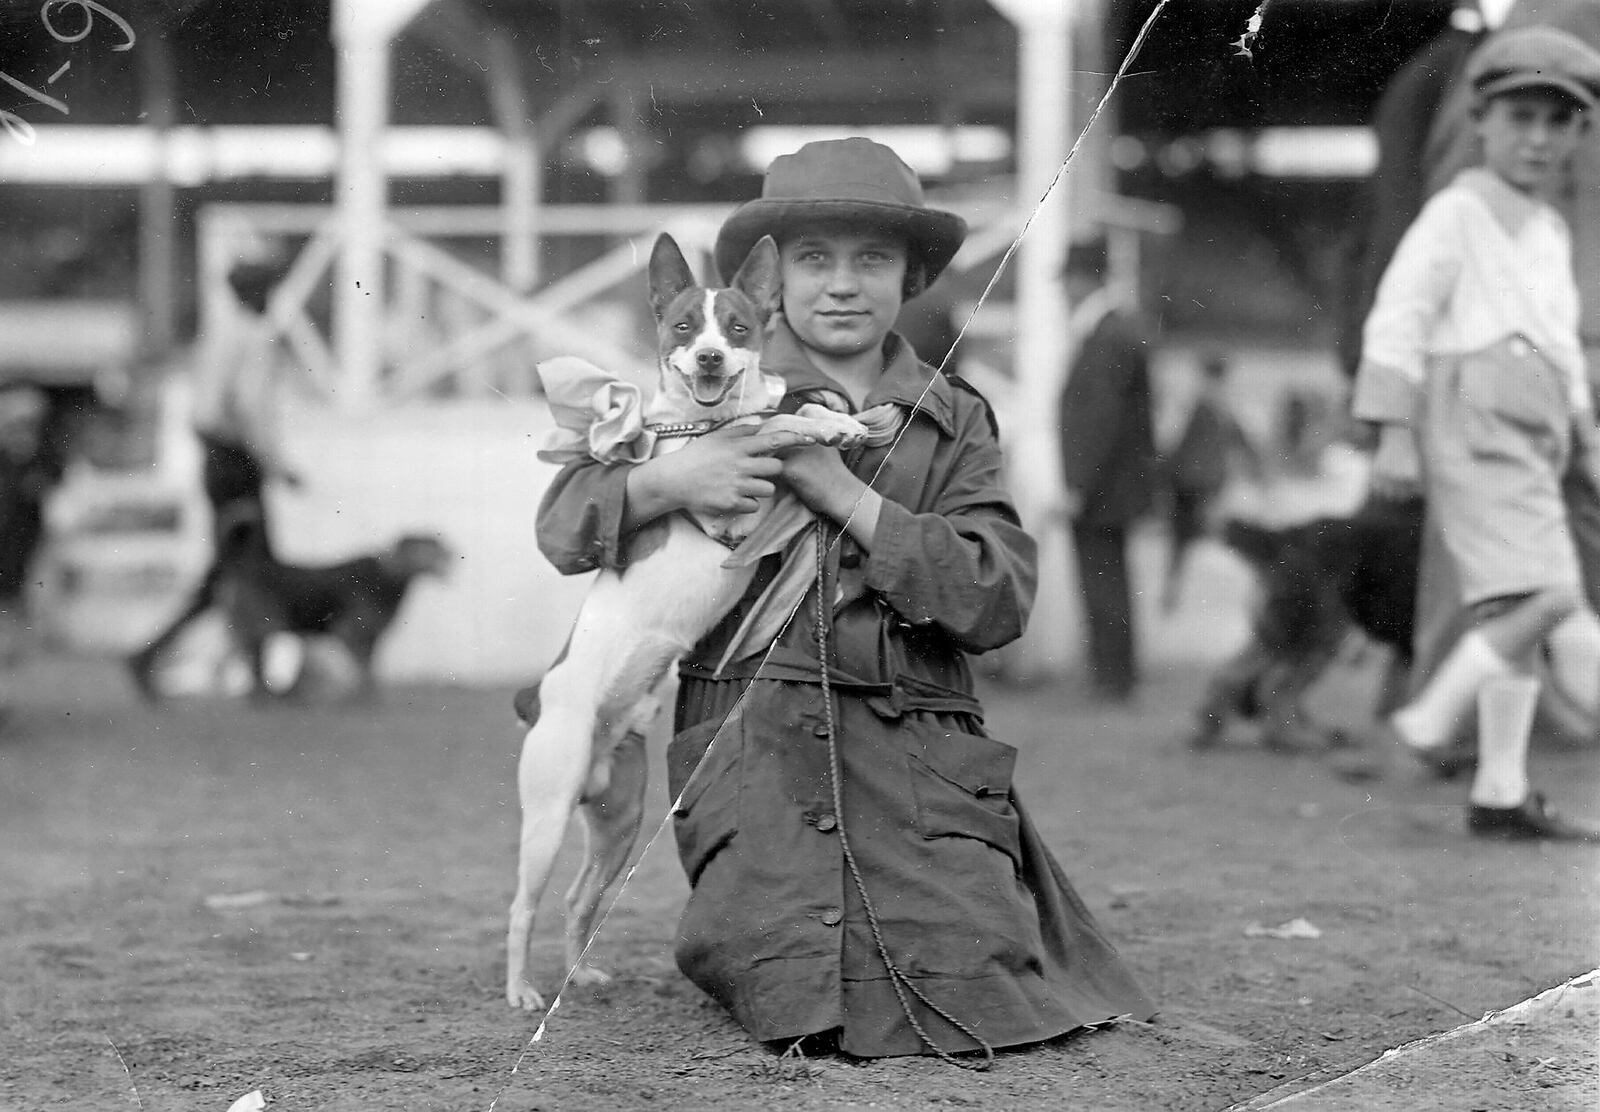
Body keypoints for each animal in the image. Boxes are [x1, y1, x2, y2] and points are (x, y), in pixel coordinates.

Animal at [505, 232, 870, 1011]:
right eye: (681, 326)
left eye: (736, 327)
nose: (707, 358)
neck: (705, 422)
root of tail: (538, 699)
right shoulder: (727, 512)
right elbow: (775, 422)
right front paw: (821, 421)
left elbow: (778, 415)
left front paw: (835, 419)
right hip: (547, 811)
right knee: (525, 905)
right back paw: (521, 990)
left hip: (617, 817)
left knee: (580, 899)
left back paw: (581, 978)